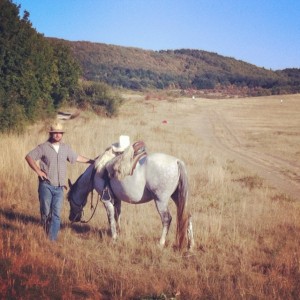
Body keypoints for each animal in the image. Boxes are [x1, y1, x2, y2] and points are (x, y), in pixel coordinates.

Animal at [67, 146, 195, 250]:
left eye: (68, 199)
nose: (71, 217)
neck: (96, 172)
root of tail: (177, 161)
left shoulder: (106, 200)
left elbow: (110, 218)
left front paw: (114, 237)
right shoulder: (116, 199)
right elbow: (117, 215)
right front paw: (119, 233)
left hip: (161, 201)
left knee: (167, 219)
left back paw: (161, 243)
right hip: (177, 198)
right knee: (187, 216)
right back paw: (191, 246)